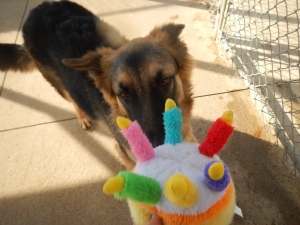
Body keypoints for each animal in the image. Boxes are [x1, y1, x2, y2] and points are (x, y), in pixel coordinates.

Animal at [0, 0, 196, 168]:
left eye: (164, 81)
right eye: (124, 94)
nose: (157, 148)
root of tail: (36, 11)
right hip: (61, 87)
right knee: (73, 99)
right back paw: (83, 116)